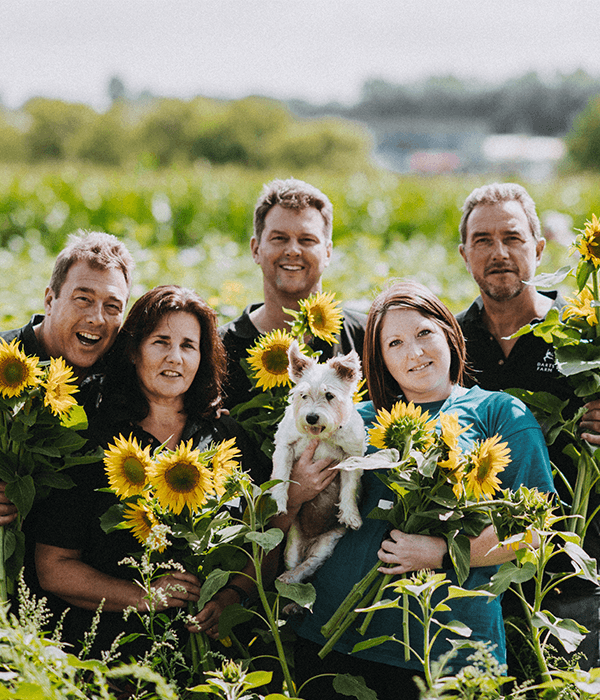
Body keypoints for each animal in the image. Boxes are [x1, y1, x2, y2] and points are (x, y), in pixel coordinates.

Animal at [272, 340, 366, 584]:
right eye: (303, 395)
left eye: (330, 395)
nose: (311, 417)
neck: (322, 435)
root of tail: (310, 539)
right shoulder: (284, 446)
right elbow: (281, 477)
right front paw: (278, 503)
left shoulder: (352, 457)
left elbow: (349, 488)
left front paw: (350, 515)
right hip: (292, 545)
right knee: (295, 565)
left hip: (325, 546)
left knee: (308, 565)